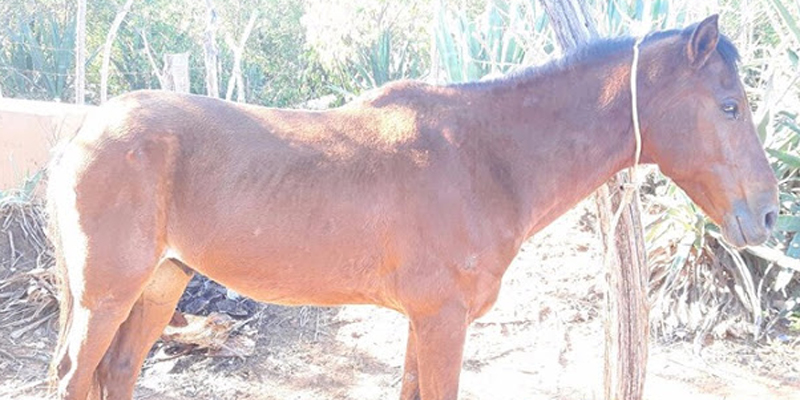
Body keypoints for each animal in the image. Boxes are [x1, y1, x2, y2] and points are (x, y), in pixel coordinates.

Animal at [48, 15, 778, 400]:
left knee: (116, 372)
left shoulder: (422, 322)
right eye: (729, 106)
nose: (769, 215)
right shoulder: (443, 321)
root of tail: (84, 130)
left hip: (159, 283)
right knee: (75, 376)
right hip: (106, 296)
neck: (486, 157)